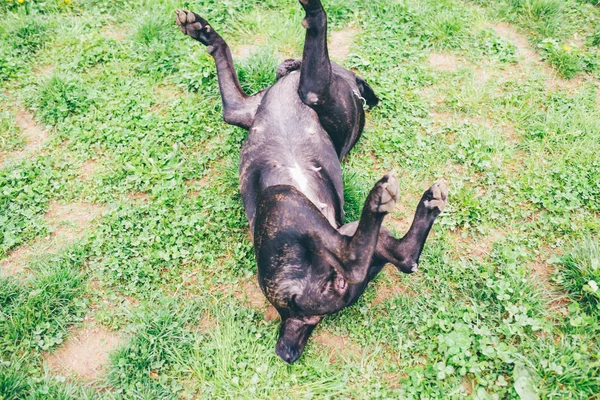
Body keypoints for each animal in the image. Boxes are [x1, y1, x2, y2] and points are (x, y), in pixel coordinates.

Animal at [173, 0, 446, 364]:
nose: (287, 64)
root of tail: (298, 317)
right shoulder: (249, 106)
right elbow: (229, 58)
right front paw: (202, 31)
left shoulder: (293, 94)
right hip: (328, 223)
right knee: (396, 258)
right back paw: (417, 202)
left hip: (285, 200)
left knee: (365, 260)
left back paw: (387, 199)